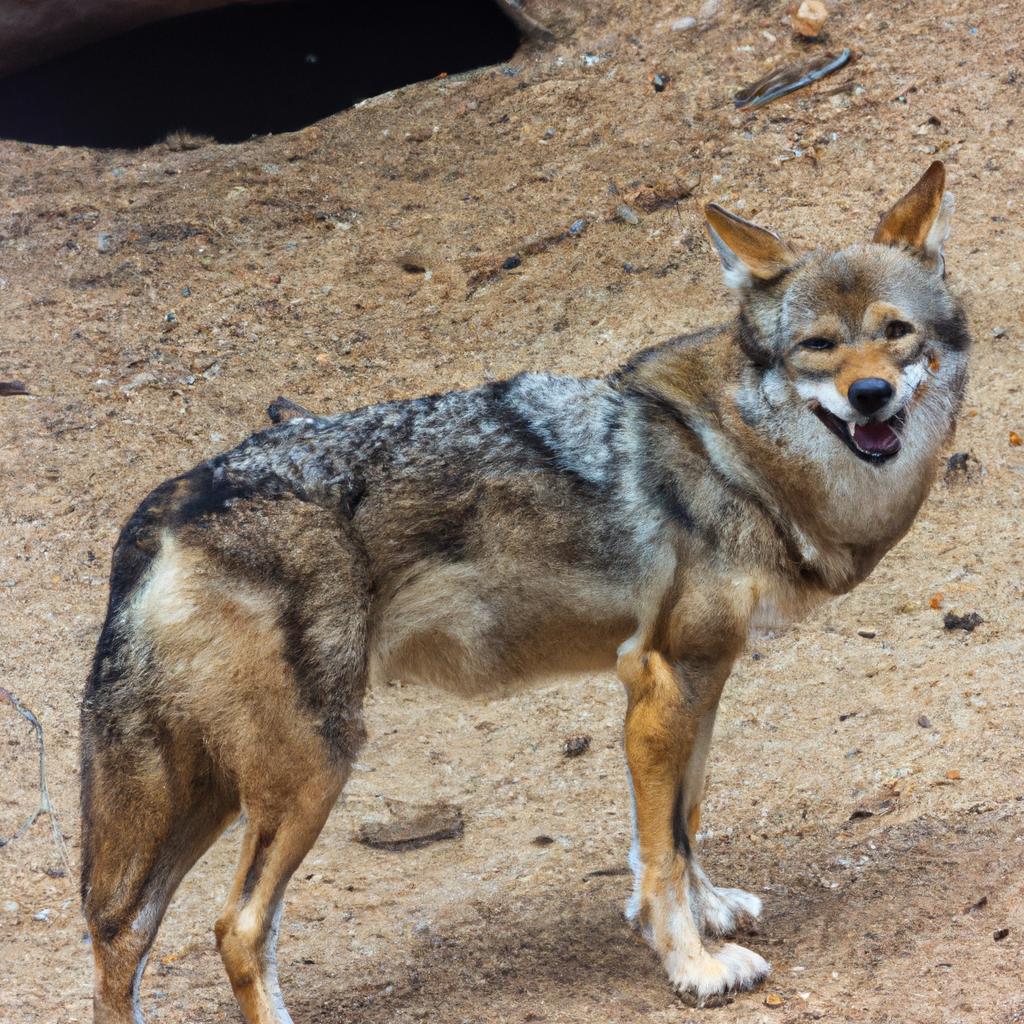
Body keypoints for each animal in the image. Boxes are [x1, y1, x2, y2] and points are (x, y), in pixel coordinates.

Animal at [81, 162, 969, 1022]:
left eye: (896, 332)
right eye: (818, 346)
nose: (870, 396)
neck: (734, 452)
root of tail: (171, 502)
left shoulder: (700, 682)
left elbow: (682, 823)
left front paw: (710, 912)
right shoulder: (663, 684)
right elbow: (663, 854)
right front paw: (694, 965)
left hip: (210, 791)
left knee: (121, 932)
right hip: (306, 771)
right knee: (236, 927)